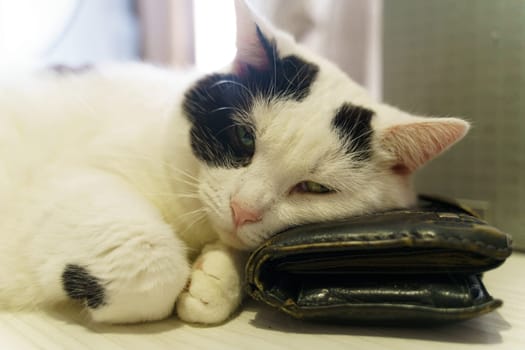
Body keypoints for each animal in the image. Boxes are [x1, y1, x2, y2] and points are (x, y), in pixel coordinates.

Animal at [0, 0, 466, 326]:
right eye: (245, 139)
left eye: (314, 188)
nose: (242, 210)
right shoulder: (67, 180)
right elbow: (153, 266)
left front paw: (215, 281)